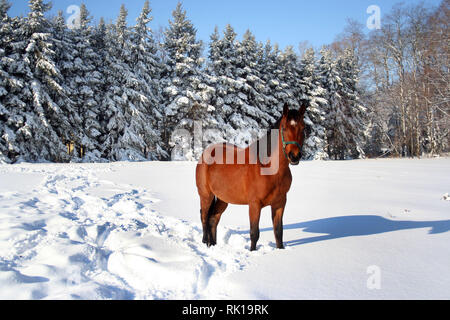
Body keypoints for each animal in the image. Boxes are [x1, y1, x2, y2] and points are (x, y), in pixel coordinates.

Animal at [195, 104, 308, 251]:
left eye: (303, 128)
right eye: (284, 128)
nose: (294, 156)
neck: (268, 169)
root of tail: (207, 152)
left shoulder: (280, 203)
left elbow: (278, 231)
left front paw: (280, 250)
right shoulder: (254, 204)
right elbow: (254, 233)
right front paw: (252, 251)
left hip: (223, 199)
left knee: (213, 219)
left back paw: (213, 244)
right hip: (206, 195)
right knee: (204, 217)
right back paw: (205, 243)